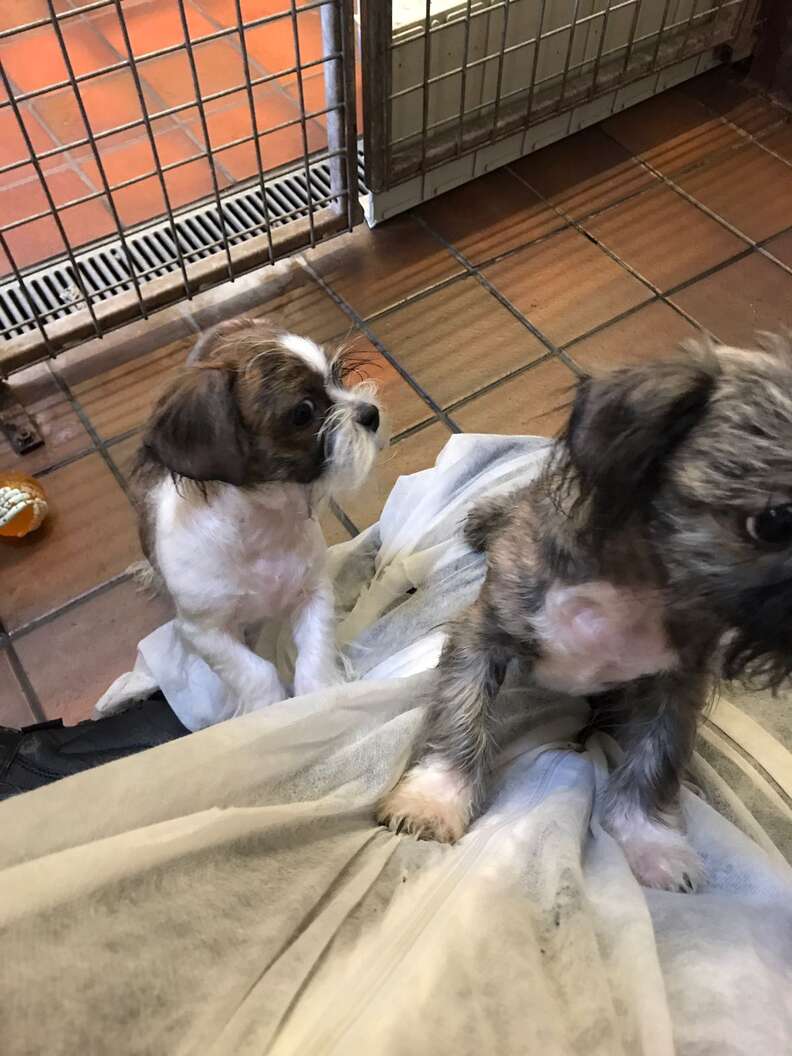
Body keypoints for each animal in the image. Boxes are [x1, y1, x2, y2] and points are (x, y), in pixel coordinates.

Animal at [132, 316, 384, 713]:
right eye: (303, 412)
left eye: (337, 377)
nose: (370, 414)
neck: (263, 525)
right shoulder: (205, 631)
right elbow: (255, 672)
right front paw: (266, 709)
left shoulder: (313, 594)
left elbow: (314, 656)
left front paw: (320, 699)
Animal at [375, 335, 792, 891]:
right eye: (774, 521)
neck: (639, 589)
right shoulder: (480, 635)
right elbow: (461, 716)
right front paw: (435, 799)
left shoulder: (676, 685)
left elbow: (654, 759)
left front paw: (651, 841)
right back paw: (488, 517)